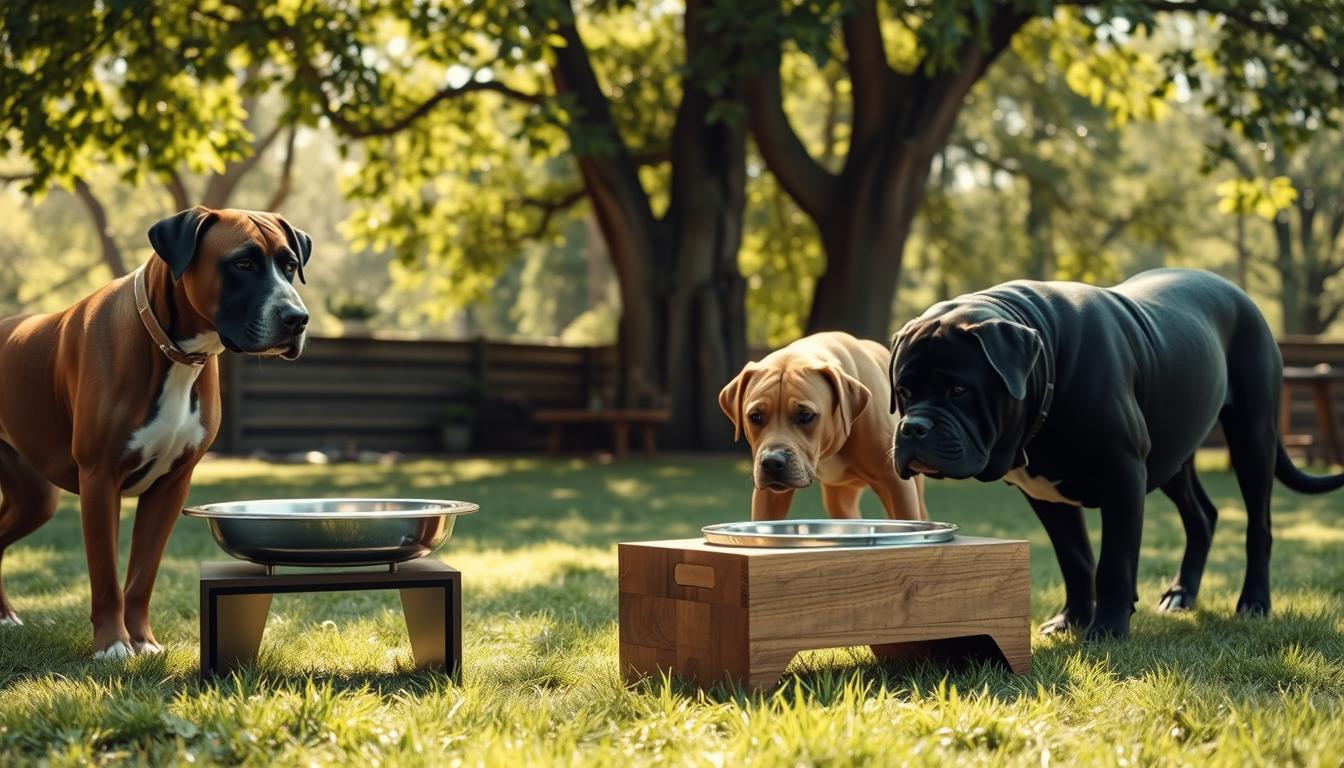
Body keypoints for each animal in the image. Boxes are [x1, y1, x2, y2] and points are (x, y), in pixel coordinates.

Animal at [0, 207, 309, 659]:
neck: (173, 350)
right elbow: (106, 575)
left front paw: (142, 640)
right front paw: (112, 644)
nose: (297, 318)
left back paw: (4, 616)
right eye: (243, 264)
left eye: (289, 266)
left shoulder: (170, 487)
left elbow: (142, 574)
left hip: (34, 500)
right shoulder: (99, 480)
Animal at [720, 330, 930, 521]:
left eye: (806, 415)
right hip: (840, 500)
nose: (772, 462)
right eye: (755, 416)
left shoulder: (896, 484)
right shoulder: (768, 496)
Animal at [892, 267, 1344, 640]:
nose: (913, 427)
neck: (1049, 358)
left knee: (1258, 526)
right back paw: (1181, 594)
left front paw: (1107, 628)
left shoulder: (1123, 476)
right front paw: (1070, 620)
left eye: (958, 389)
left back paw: (1253, 602)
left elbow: (1114, 563)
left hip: (1252, 436)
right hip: (1172, 454)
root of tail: (1235, 290)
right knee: (1202, 515)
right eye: (904, 392)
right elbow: (1075, 559)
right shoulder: (1045, 495)